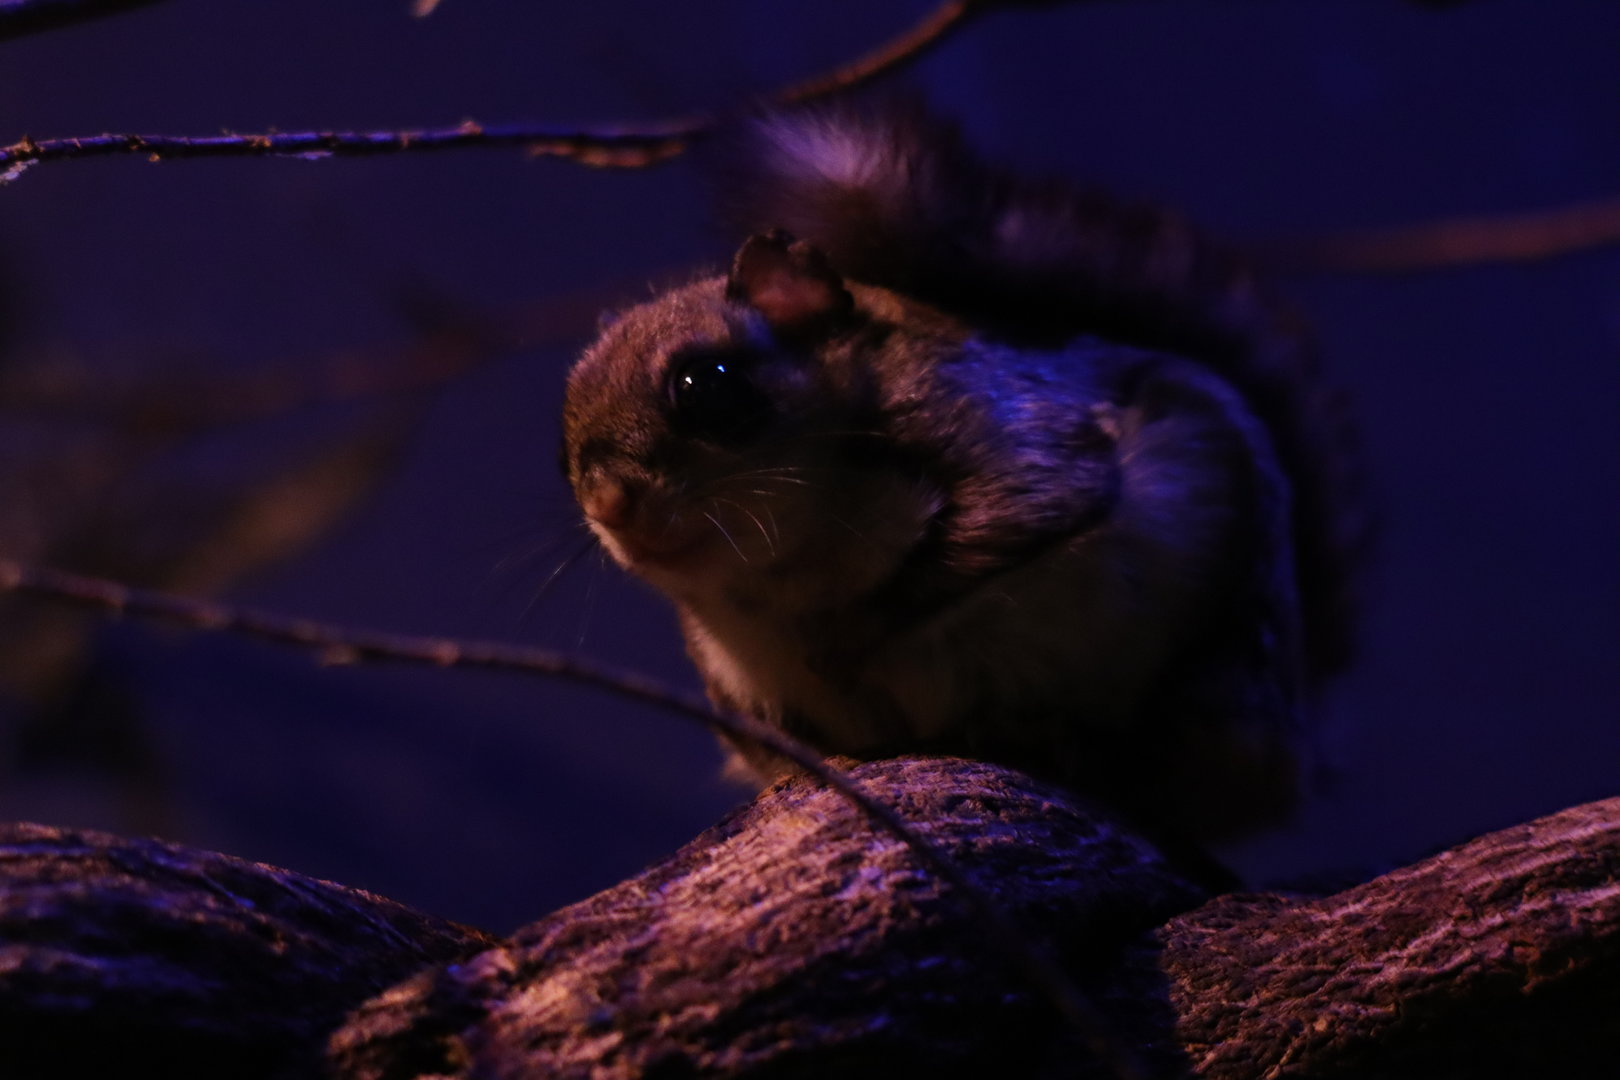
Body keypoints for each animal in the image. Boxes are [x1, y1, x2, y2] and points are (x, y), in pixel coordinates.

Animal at [561, 103, 1363, 841]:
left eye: (710, 384)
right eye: (564, 425)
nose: (608, 504)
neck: (789, 568)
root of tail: (1293, 741)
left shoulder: (1013, 441)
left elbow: (1000, 530)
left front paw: (846, 645)